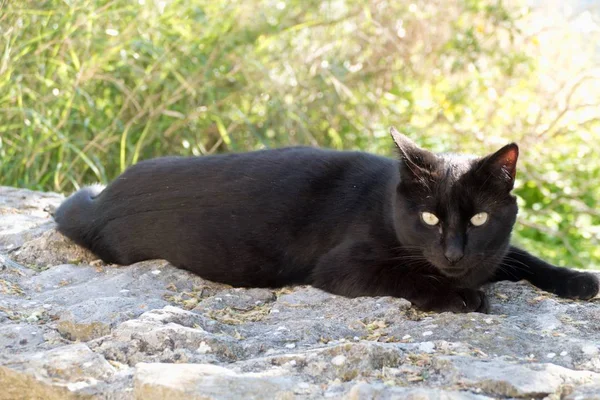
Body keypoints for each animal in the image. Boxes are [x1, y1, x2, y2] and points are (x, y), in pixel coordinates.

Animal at [54, 128, 596, 312]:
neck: (386, 204)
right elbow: (407, 273)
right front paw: (459, 295)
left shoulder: (495, 250)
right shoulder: (343, 267)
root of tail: (101, 201)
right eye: (428, 217)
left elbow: (523, 257)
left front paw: (578, 279)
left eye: (480, 218)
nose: (454, 252)